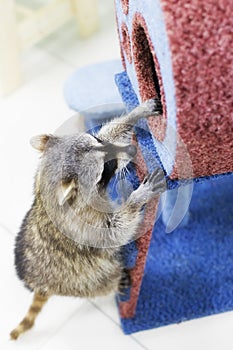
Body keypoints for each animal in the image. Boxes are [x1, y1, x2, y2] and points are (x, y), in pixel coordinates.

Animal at [10, 98, 165, 340]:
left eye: (99, 142)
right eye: (106, 167)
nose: (132, 149)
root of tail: (38, 284)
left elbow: (111, 130)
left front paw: (135, 114)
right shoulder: (84, 224)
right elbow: (115, 231)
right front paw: (137, 197)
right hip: (83, 281)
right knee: (104, 279)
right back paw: (117, 282)